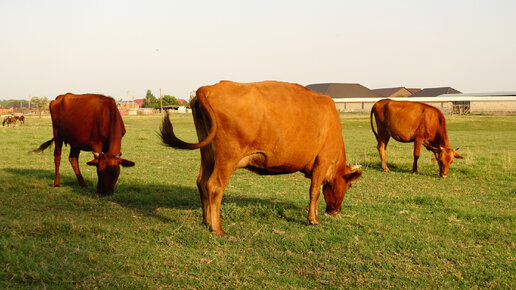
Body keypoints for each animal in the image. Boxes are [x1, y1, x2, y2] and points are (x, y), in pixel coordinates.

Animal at [159, 80, 360, 236]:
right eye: (349, 185)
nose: (335, 212)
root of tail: (208, 88)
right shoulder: (322, 160)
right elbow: (314, 191)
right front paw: (313, 219)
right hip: (227, 157)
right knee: (214, 186)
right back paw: (218, 229)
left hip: (208, 154)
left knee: (201, 182)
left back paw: (207, 222)